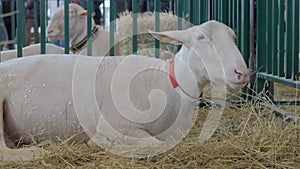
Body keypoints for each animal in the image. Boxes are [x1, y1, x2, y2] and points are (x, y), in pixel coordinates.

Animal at [0, 20, 248, 161]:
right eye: (201, 37)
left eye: (234, 37)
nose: (242, 72)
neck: (169, 84)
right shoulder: (115, 123)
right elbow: (156, 145)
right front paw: (99, 142)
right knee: (5, 154)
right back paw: (42, 152)